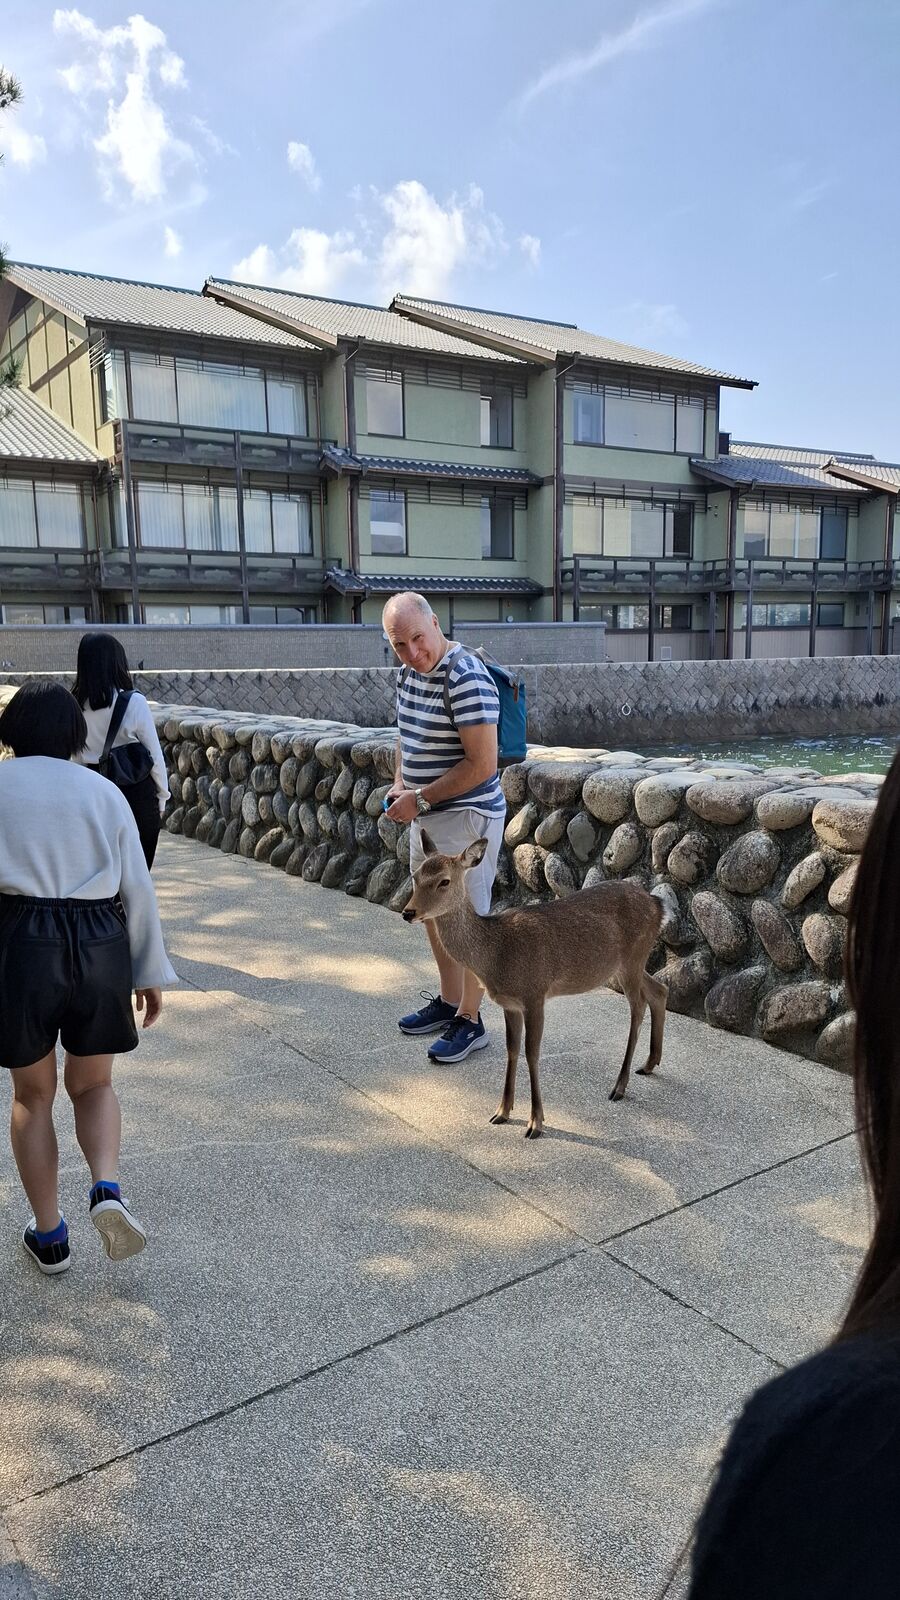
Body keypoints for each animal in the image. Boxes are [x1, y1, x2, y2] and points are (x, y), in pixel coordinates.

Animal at [402, 833, 667, 1139]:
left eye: (444, 881)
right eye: (415, 876)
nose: (408, 912)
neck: (496, 954)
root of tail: (658, 905)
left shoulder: (534, 993)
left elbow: (532, 1052)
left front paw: (535, 1123)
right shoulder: (510, 1003)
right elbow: (512, 1049)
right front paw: (502, 1111)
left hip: (633, 957)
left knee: (638, 1007)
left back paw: (619, 1086)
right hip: (629, 964)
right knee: (659, 991)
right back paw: (649, 1064)